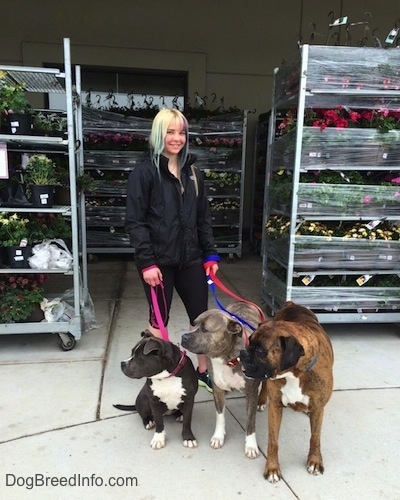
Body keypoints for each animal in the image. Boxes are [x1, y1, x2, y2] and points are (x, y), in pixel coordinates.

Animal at [239, 302, 332, 482]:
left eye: (260, 350)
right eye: (249, 341)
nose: (243, 352)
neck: (295, 373)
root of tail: (293, 304)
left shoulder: (319, 408)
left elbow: (315, 437)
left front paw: (315, 461)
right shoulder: (276, 407)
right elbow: (273, 441)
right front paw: (272, 468)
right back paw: (261, 401)